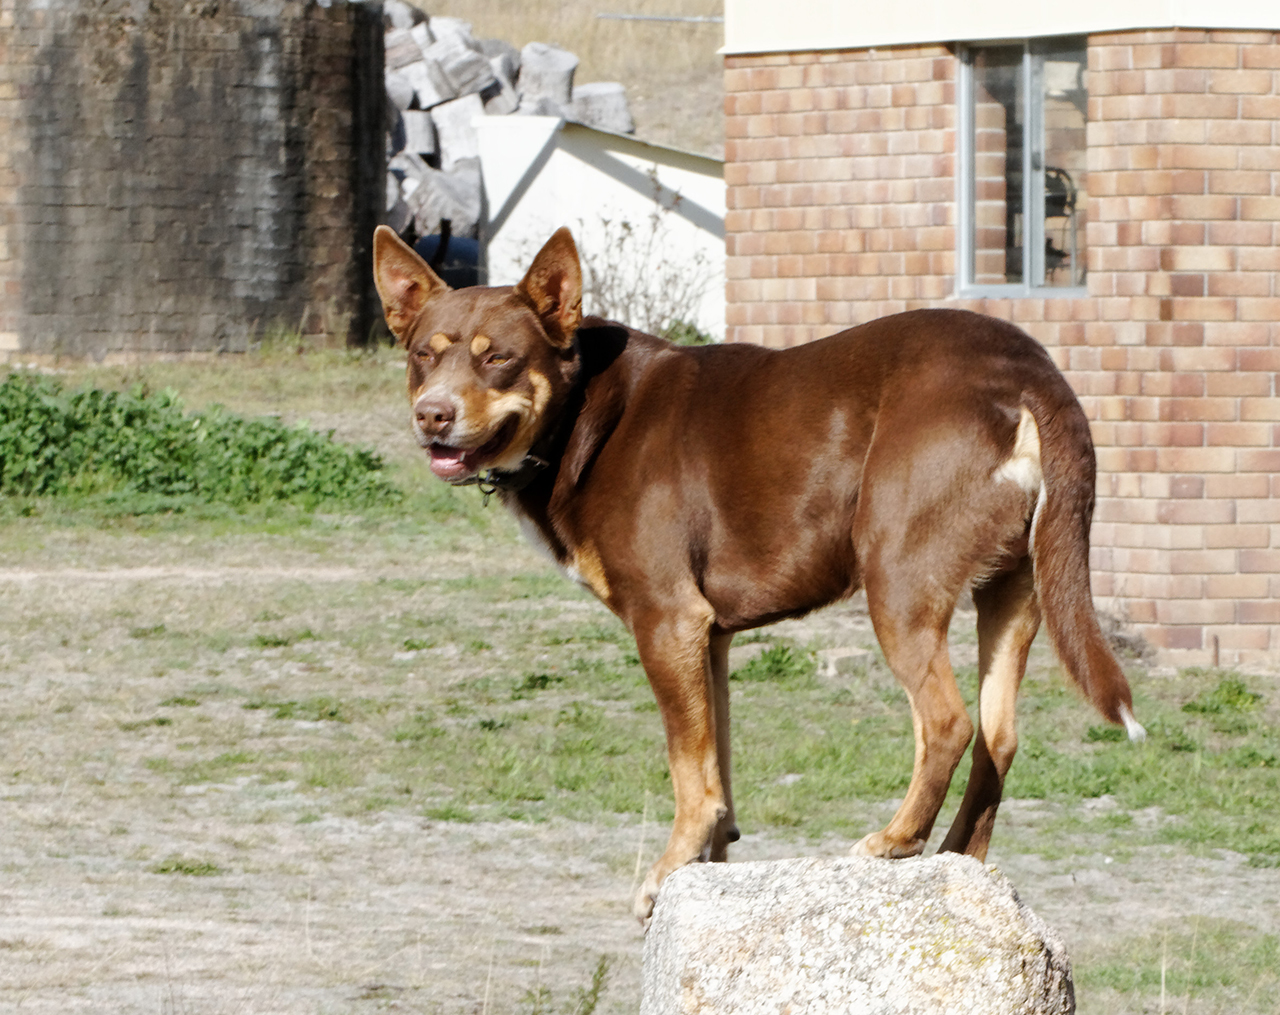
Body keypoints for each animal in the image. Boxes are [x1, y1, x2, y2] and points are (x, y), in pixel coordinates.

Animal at [372, 224, 1145, 923]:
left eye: (499, 358)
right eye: (422, 357)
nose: (432, 415)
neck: (582, 413)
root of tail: (1029, 372)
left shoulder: (667, 619)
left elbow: (689, 771)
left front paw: (667, 873)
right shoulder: (707, 637)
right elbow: (716, 761)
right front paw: (710, 861)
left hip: (897, 578)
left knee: (948, 723)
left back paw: (896, 839)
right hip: (1015, 589)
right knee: (998, 737)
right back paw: (956, 856)